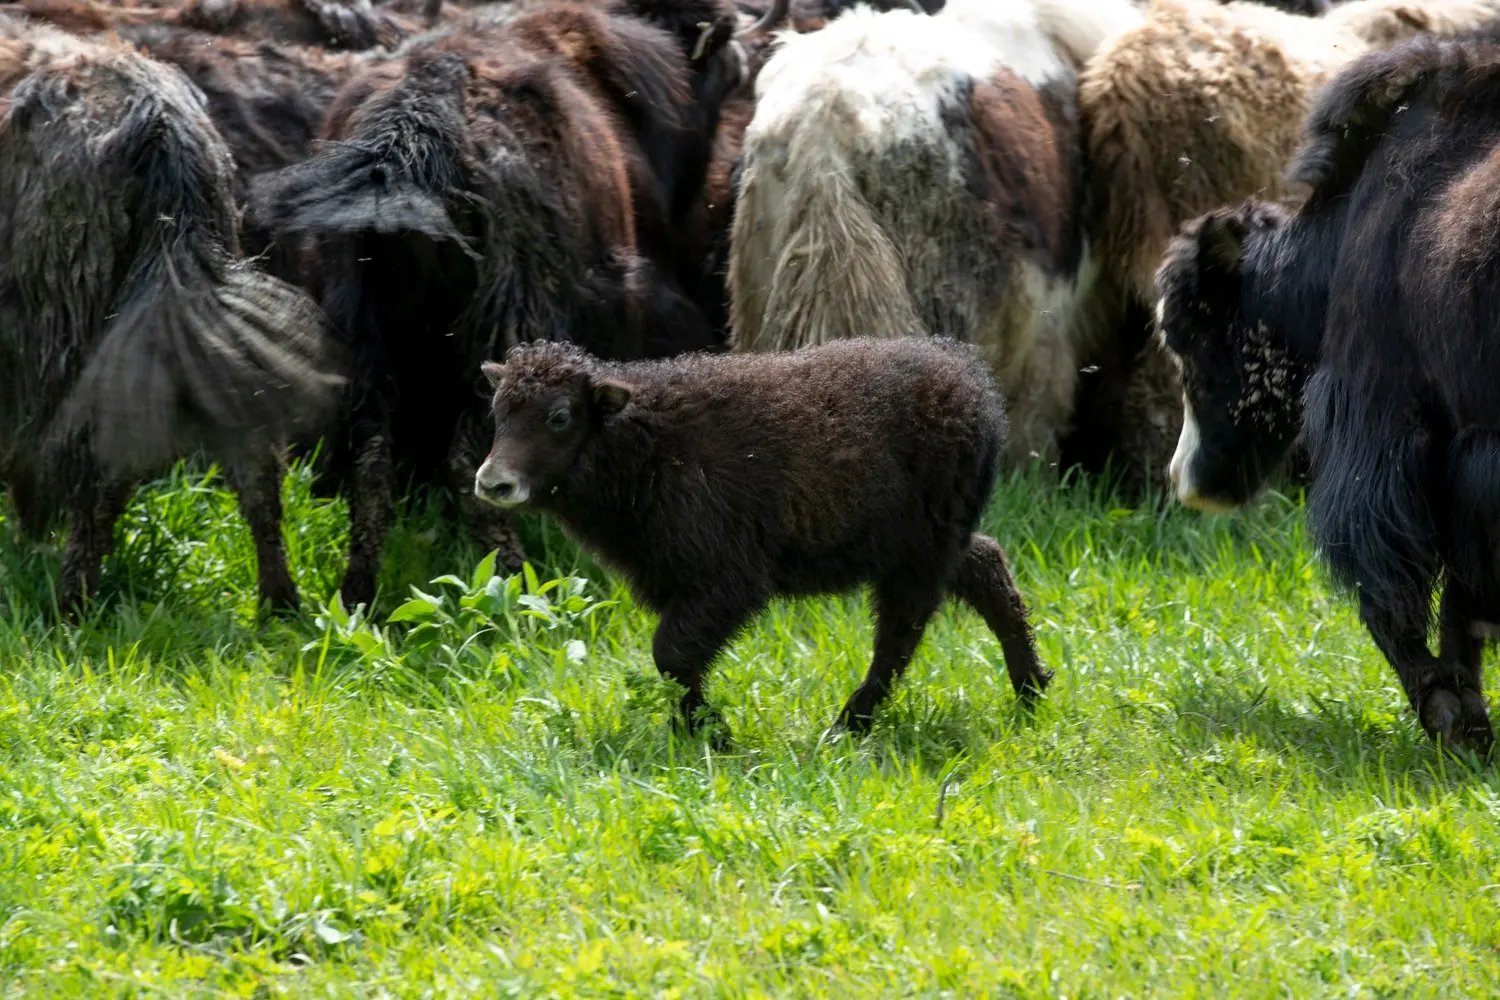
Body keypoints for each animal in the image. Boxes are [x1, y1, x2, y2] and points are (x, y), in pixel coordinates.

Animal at [474, 340, 1050, 740]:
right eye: (497, 412)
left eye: (560, 416)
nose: (492, 483)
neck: (647, 442)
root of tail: (972, 379)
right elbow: (677, 663)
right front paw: (695, 730)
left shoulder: (729, 580)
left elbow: (672, 654)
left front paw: (713, 734)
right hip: (925, 543)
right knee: (986, 569)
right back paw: (1032, 692)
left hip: (920, 551)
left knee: (900, 634)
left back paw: (850, 724)